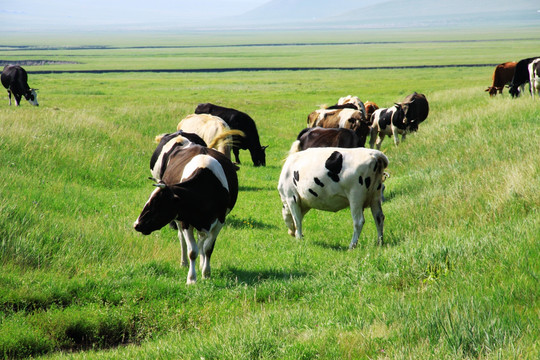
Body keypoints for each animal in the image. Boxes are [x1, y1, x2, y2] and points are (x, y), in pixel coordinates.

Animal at [134, 145, 237, 286]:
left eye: (157, 204)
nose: (136, 225)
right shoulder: (185, 221)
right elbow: (192, 251)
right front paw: (192, 279)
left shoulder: (220, 221)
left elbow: (208, 248)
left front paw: (206, 273)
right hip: (179, 221)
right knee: (183, 240)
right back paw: (184, 263)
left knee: (201, 241)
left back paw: (202, 264)